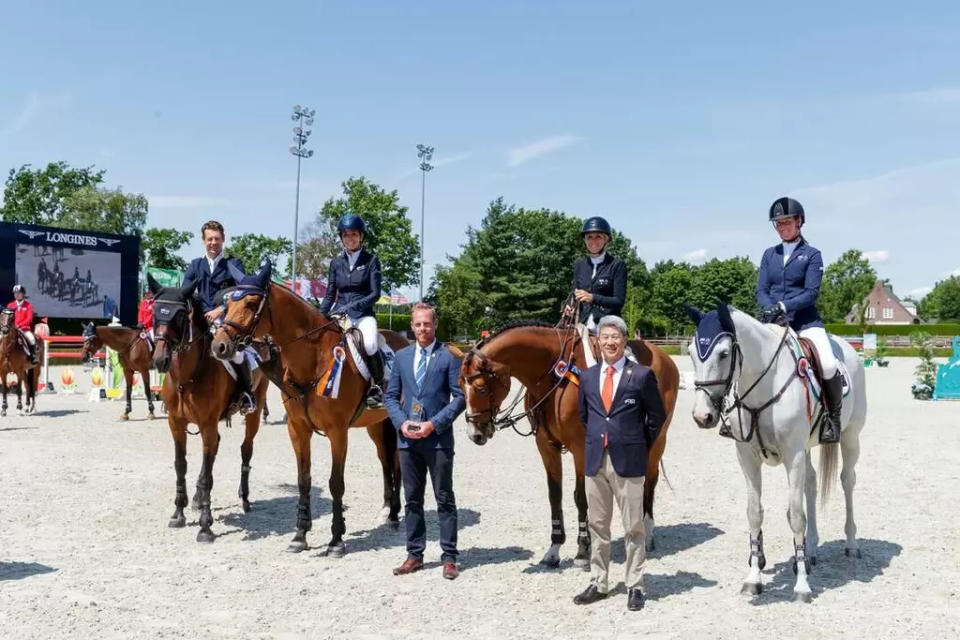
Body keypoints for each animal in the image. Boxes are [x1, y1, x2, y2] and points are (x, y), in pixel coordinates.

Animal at [148, 278, 272, 544]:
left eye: (180, 316)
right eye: (154, 313)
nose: (160, 360)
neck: (187, 378)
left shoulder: (207, 425)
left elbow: (207, 475)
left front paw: (205, 526)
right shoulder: (176, 424)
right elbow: (181, 466)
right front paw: (179, 513)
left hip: (254, 412)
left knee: (245, 450)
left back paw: (245, 498)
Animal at [208, 262, 406, 556]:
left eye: (251, 303)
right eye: (227, 304)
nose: (219, 346)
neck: (314, 360)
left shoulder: (338, 432)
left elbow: (336, 483)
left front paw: (336, 540)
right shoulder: (298, 429)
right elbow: (304, 480)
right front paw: (300, 535)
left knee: (398, 462)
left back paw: (394, 516)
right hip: (376, 424)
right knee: (386, 460)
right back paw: (388, 512)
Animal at [460, 322, 680, 568]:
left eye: (480, 388)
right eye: (459, 385)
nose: (475, 434)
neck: (554, 380)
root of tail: (664, 357)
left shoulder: (581, 448)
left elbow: (581, 495)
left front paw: (583, 550)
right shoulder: (546, 447)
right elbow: (554, 495)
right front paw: (554, 549)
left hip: (658, 439)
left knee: (650, 481)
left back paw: (647, 534)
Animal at [684, 302, 872, 604]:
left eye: (724, 353)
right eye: (691, 352)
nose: (703, 416)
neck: (764, 386)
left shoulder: (792, 456)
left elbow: (795, 516)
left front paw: (802, 586)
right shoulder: (747, 457)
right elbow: (754, 513)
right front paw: (754, 578)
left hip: (851, 437)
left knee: (847, 481)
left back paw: (851, 545)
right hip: (807, 448)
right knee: (811, 484)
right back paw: (811, 550)